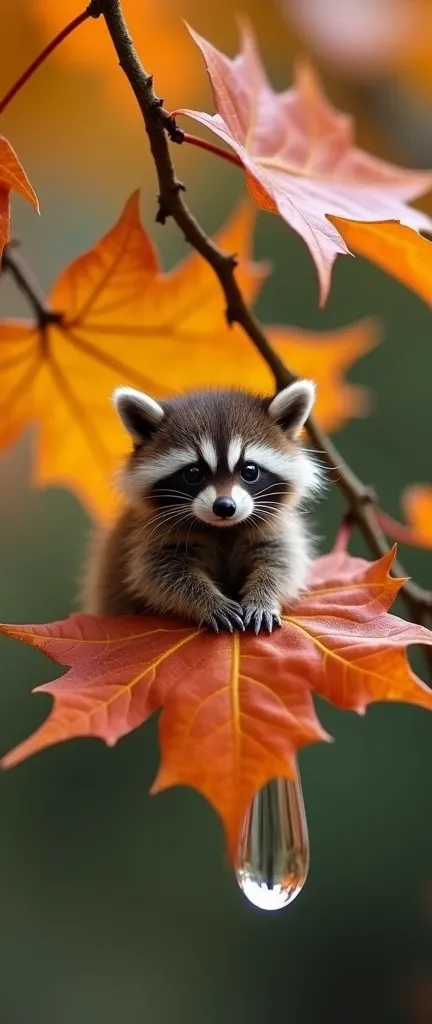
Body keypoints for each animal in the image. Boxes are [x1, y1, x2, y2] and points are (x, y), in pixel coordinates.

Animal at [83, 382, 321, 630]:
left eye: (250, 471)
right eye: (193, 473)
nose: (225, 506)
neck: (222, 528)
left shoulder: (273, 526)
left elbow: (281, 562)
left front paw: (263, 598)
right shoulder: (149, 533)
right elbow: (160, 573)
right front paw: (209, 601)